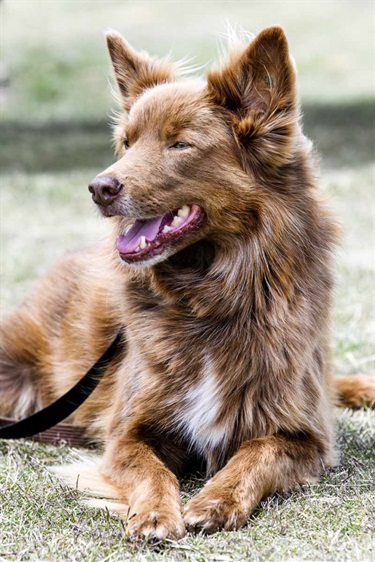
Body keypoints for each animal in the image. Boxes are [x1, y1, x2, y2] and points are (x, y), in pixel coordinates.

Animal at [0, 26, 375, 540]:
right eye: (127, 142)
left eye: (180, 145)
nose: (99, 188)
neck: (209, 300)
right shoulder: (125, 431)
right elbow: (150, 469)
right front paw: (156, 512)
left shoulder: (305, 434)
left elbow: (257, 454)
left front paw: (217, 499)